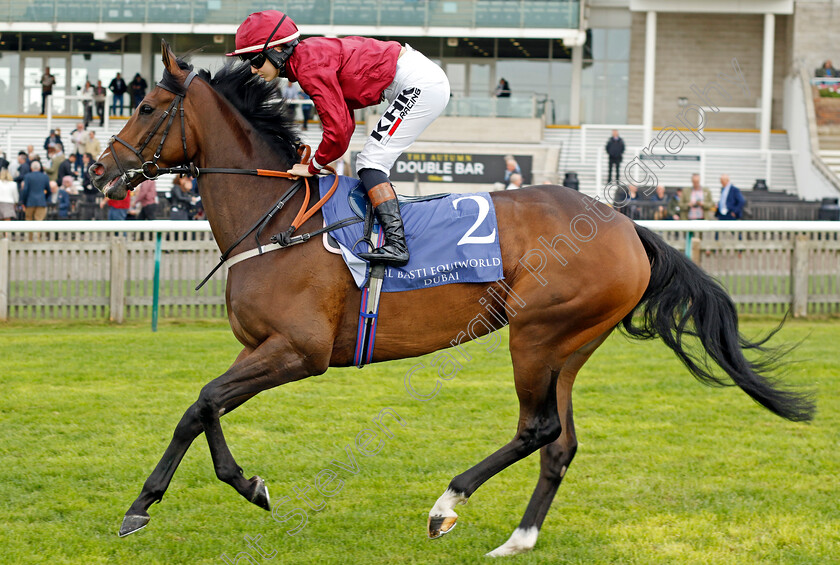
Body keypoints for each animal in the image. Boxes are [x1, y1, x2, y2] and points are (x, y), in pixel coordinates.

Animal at [90, 44, 812, 556]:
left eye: (147, 108)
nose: (100, 172)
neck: (278, 219)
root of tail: (624, 224)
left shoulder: (299, 351)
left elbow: (204, 401)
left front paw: (161, 500)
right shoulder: (261, 348)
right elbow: (203, 407)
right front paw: (224, 489)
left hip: (535, 333)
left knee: (537, 428)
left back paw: (447, 504)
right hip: (572, 344)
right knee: (561, 442)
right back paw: (517, 538)